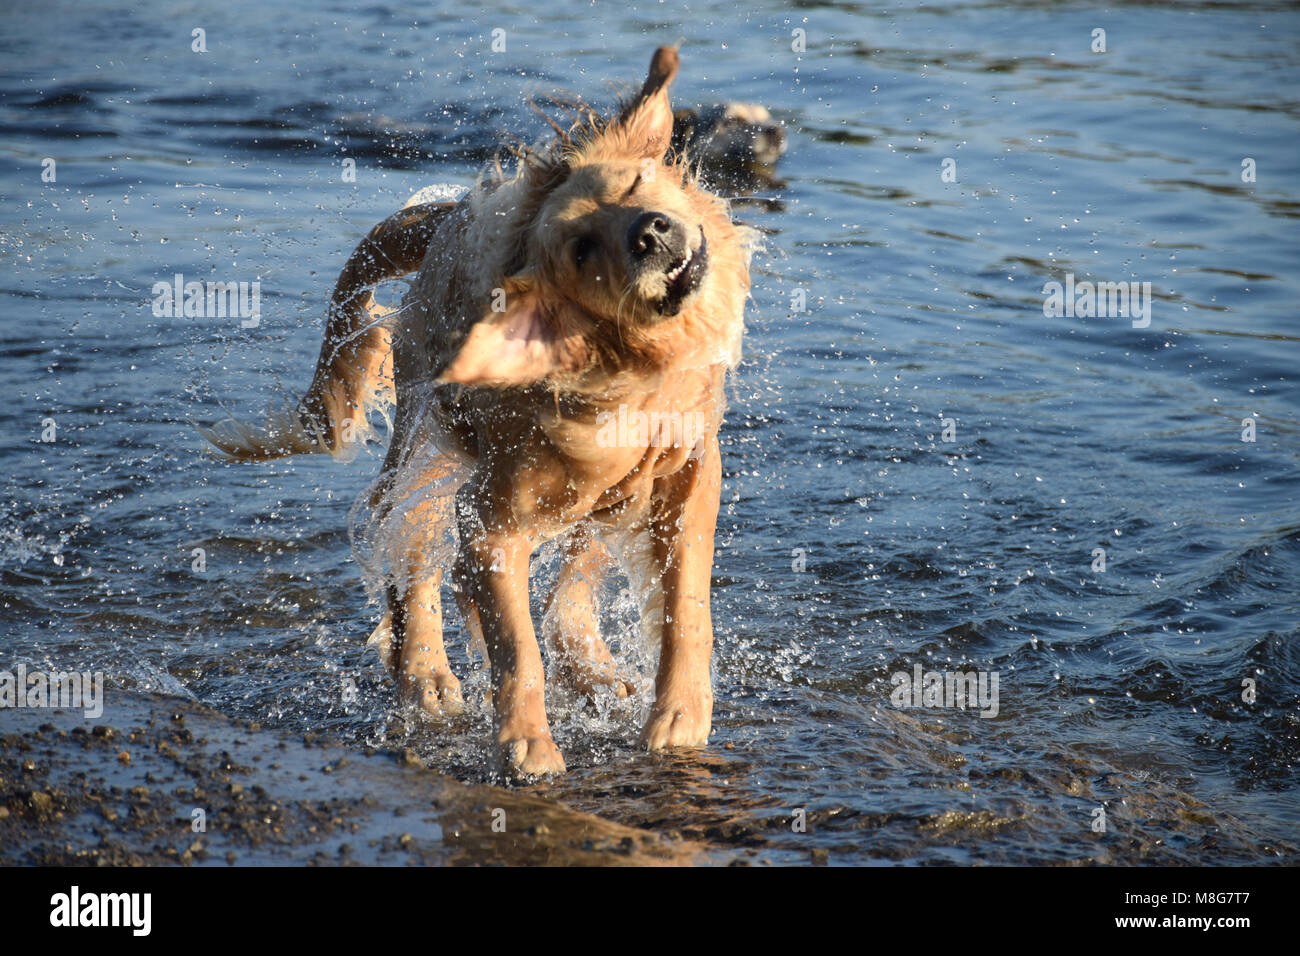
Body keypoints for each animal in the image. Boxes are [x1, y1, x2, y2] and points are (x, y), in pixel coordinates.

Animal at [198, 46, 759, 780]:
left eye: (638, 181)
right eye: (581, 250)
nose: (650, 233)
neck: (626, 377)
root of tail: (451, 219)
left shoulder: (685, 476)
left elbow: (685, 604)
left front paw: (679, 716)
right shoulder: (490, 519)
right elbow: (514, 646)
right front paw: (527, 743)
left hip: (591, 498)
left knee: (570, 580)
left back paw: (592, 667)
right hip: (424, 442)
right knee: (409, 555)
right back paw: (425, 673)